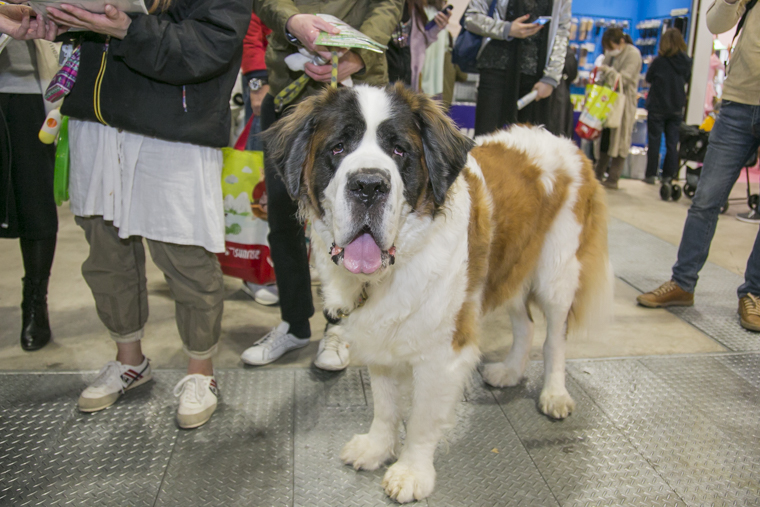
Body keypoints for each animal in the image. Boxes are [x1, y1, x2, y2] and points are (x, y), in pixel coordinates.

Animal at [264, 84, 616, 504]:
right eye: (338, 147)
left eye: (399, 151)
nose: (368, 185)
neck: (394, 267)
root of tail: (568, 143)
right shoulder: (381, 341)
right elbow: (385, 405)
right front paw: (377, 448)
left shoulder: (443, 354)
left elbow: (421, 418)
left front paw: (412, 472)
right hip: (508, 266)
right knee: (525, 325)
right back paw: (509, 371)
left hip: (556, 274)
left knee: (554, 339)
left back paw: (554, 394)